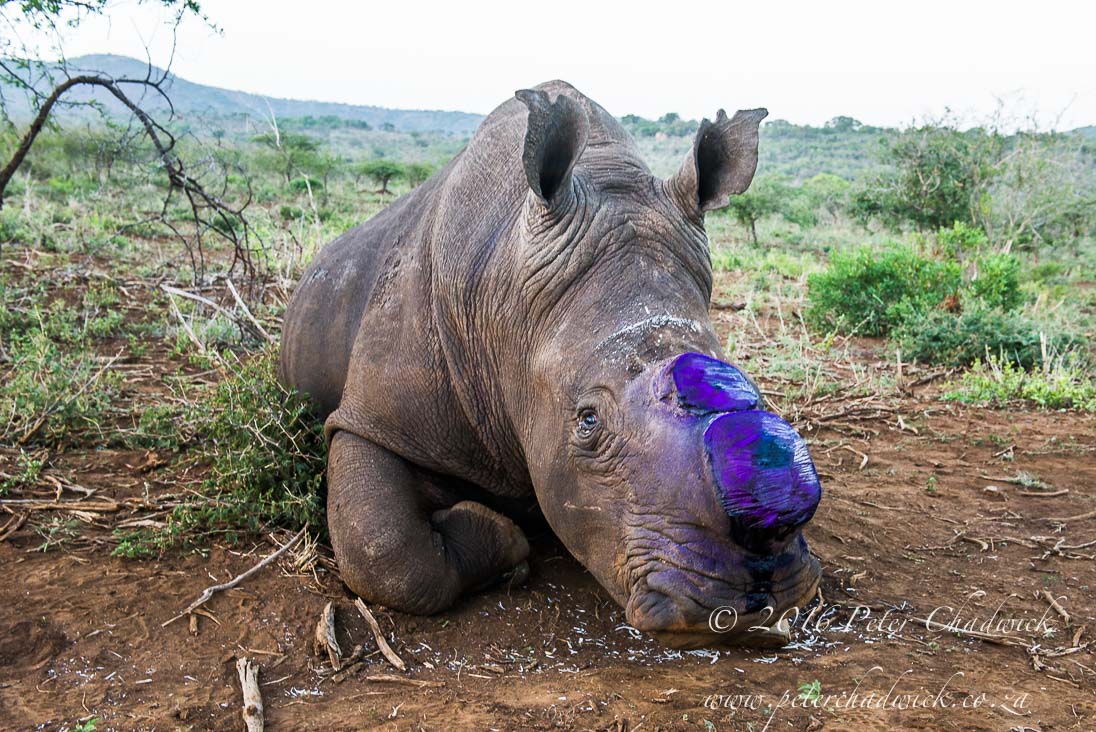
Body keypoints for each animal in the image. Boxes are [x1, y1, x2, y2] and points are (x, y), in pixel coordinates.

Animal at [280, 81, 822, 647]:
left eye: (757, 388)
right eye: (588, 421)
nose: (743, 603)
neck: (507, 302)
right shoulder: (374, 420)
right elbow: (382, 548)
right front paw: (504, 544)